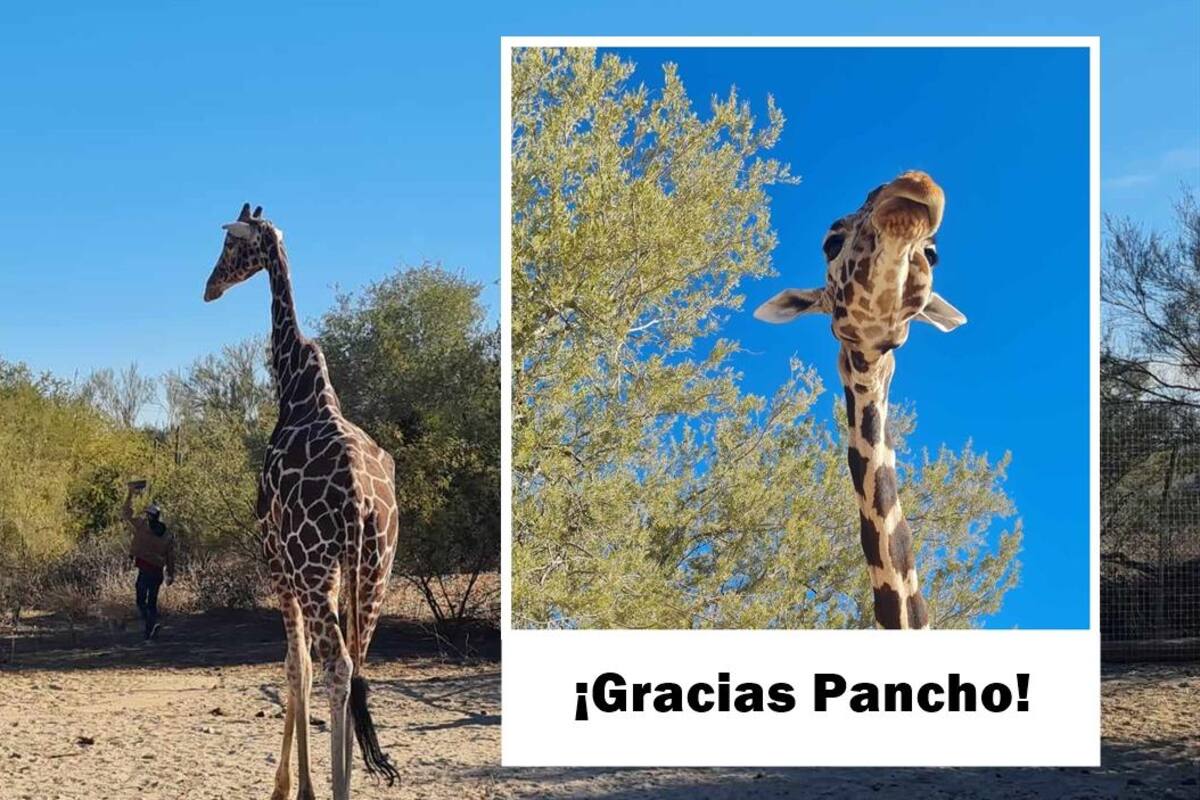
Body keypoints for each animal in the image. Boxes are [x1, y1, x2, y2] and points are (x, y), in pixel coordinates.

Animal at [204, 203, 401, 799]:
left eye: (229, 247)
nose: (209, 287)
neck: (292, 386)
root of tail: (360, 497)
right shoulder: (330, 571)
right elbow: (305, 668)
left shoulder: (277, 560)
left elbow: (296, 667)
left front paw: (289, 786)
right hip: (374, 568)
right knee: (356, 664)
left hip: (314, 569)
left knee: (336, 665)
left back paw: (334, 790)